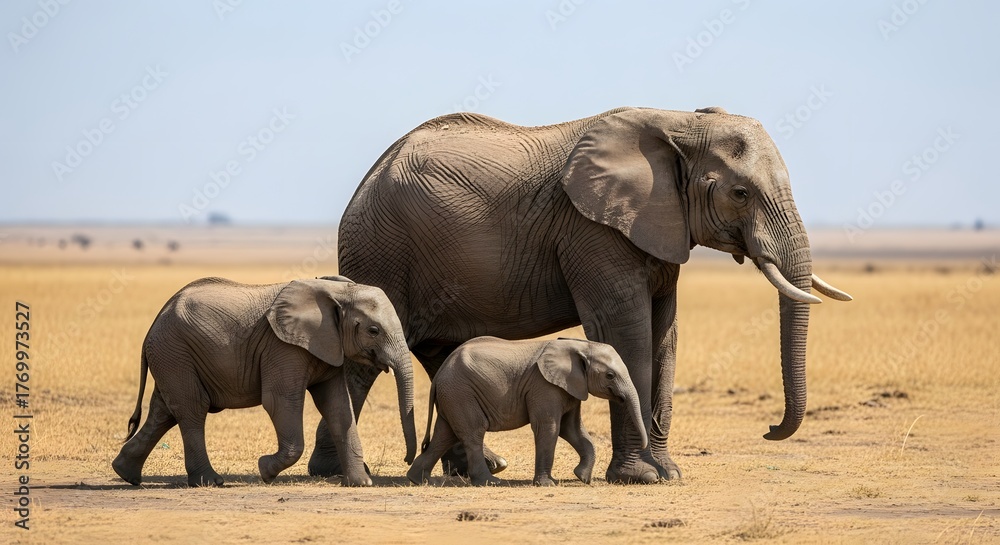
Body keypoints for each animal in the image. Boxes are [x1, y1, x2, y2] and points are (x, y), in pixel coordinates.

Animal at [112, 276, 416, 487]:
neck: (337, 292)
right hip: (174, 352)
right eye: (373, 330)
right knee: (191, 409)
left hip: (171, 357)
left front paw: (361, 484)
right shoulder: (283, 348)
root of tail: (155, 321)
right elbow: (280, 401)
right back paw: (211, 482)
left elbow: (339, 407)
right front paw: (264, 470)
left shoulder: (328, 346)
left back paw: (125, 474)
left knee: (164, 412)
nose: (406, 459)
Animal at [408, 337, 646, 486]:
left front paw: (582, 478)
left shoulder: (570, 387)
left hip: (454, 395)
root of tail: (439, 375)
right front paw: (548, 484)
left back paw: (420, 480)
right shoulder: (544, 386)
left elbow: (573, 430)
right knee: (473, 433)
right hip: (461, 392)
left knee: (444, 435)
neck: (579, 346)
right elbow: (549, 427)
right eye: (610, 375)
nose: (644, 445)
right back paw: (490, 482)